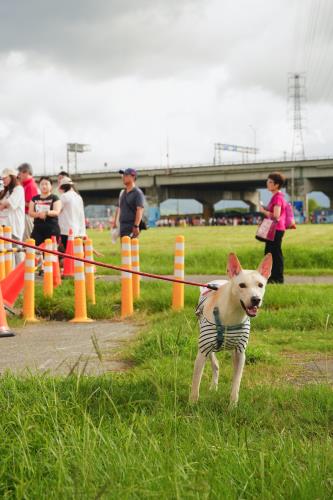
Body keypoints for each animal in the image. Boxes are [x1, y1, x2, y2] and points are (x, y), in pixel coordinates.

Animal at [189, 252, 270, 408]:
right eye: (242, 285)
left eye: (260, 285)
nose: (256, 299)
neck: (232, 315)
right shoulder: (202, 352)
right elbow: (196, 383)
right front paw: (192, 404)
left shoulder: (240, 354)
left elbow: (236, 383)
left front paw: (232, 405)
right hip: (206, 346)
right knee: (215, 364)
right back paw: (213, 387)